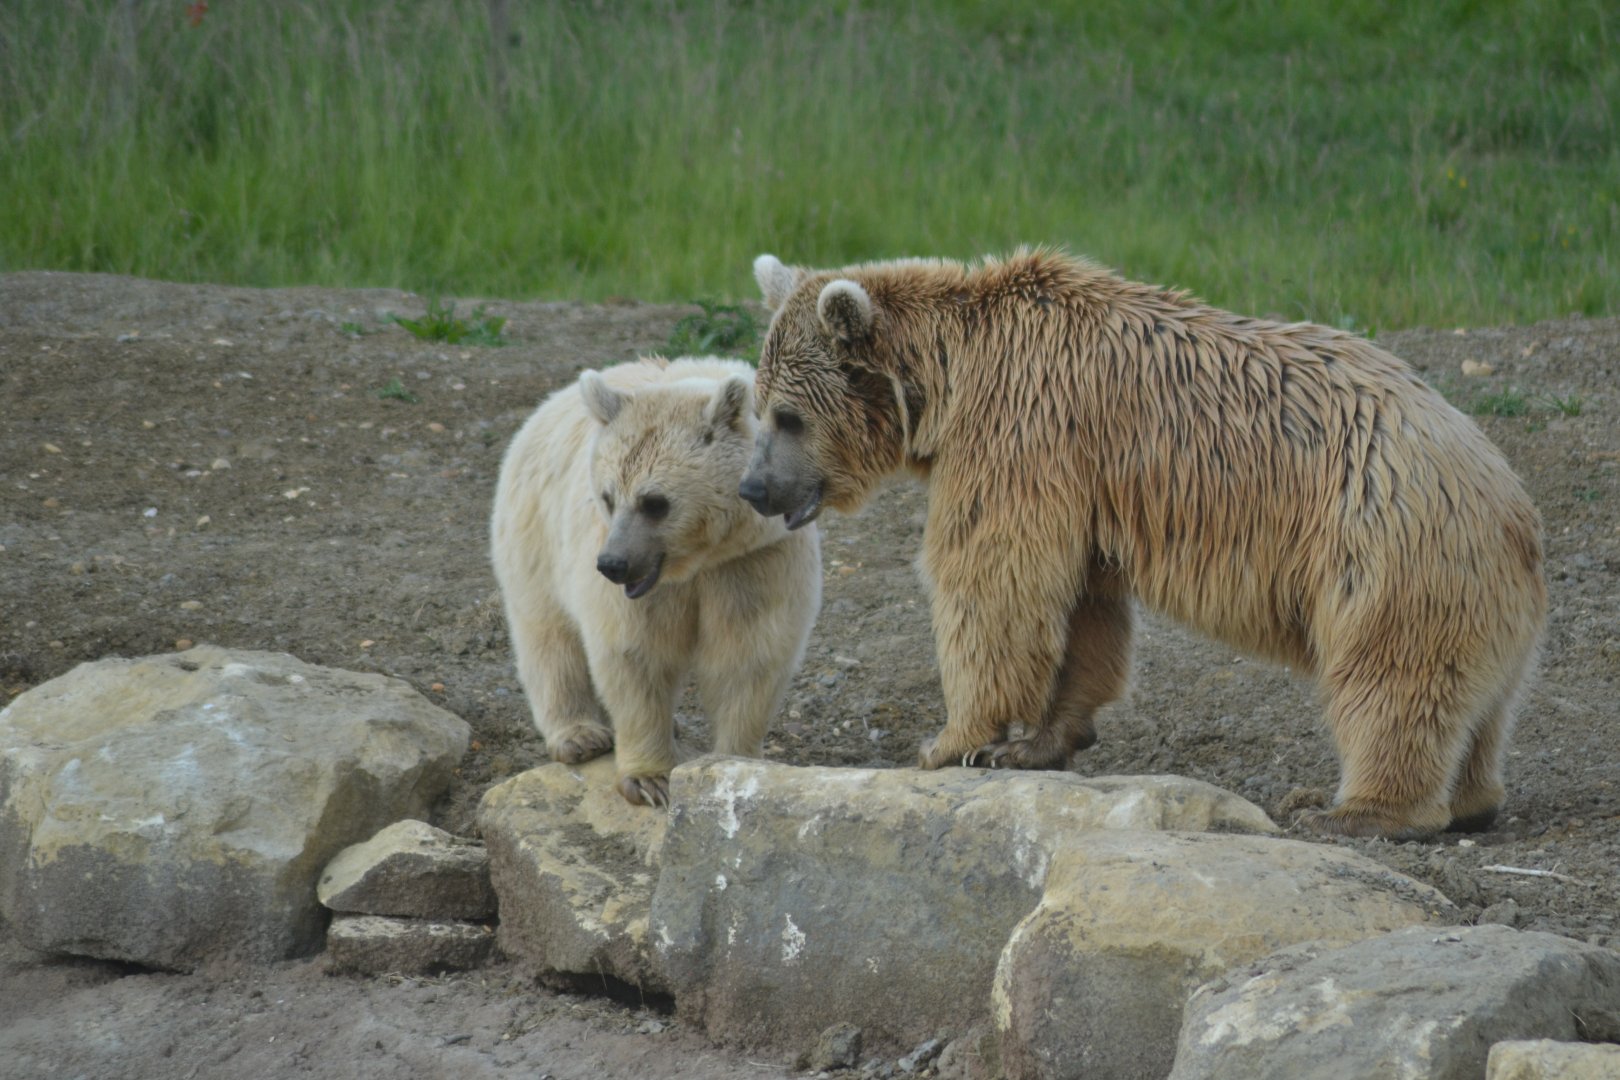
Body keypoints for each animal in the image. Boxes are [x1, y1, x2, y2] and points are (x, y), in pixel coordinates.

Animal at [492, 356, 821, 807]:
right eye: (608, 496)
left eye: (654, 502)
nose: (612, 564)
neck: (700, 560)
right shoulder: (638, 592)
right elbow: (636, 655)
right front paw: (650, 779)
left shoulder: (755, 563)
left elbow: (748, 656)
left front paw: (734, 764)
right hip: (535, 536)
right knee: (548, 636)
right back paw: (579, 735)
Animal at [740, 249, 1546, 839]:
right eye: (760, 405)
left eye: (787, 416)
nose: (754, 487)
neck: (950, 381)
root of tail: (1507, 493)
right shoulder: (1080, 487)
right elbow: (1082, 609)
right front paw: (1039, 741)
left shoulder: (1022, 434)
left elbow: (992, 580)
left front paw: (949, 741)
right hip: (1472, 592)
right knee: (1480, 705)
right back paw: (1473, 799)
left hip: (1384, 550)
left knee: (1390, 684)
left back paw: (1355, 809)